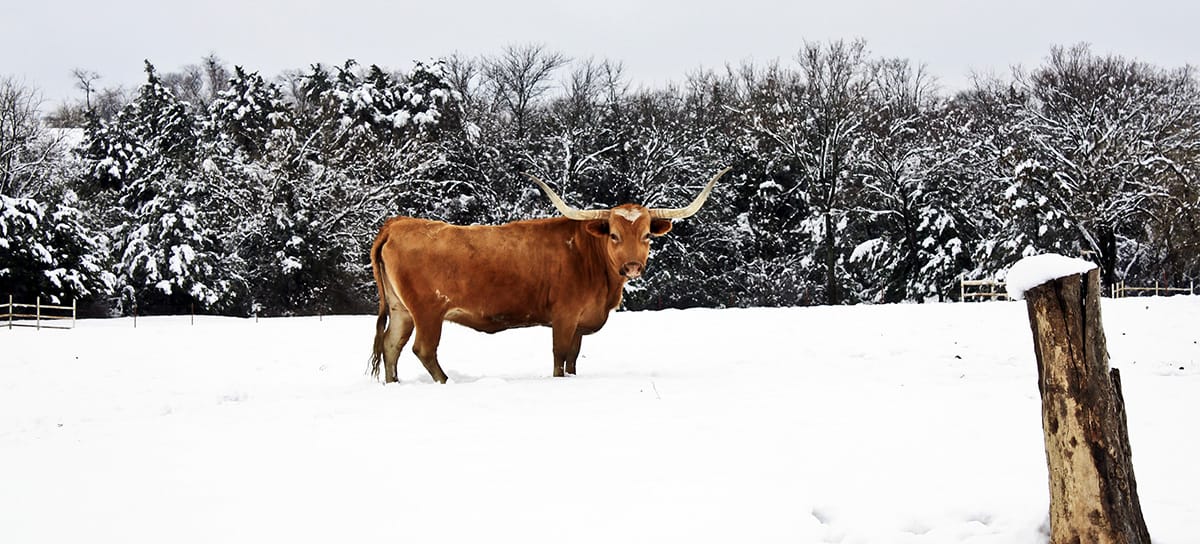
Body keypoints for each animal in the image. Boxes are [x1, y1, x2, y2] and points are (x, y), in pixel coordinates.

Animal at [368, 167, 731, 383]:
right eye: (614, 235)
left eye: (645, 236)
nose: (632, 266)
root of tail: (398, 223)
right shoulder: (564, 316)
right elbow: (559, 356)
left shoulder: (581, 323)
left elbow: (572, 359)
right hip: (428, 311)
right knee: (423, 349)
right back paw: (447, 383)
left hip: (402, 310)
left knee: (391, 345)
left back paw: (394, 384)